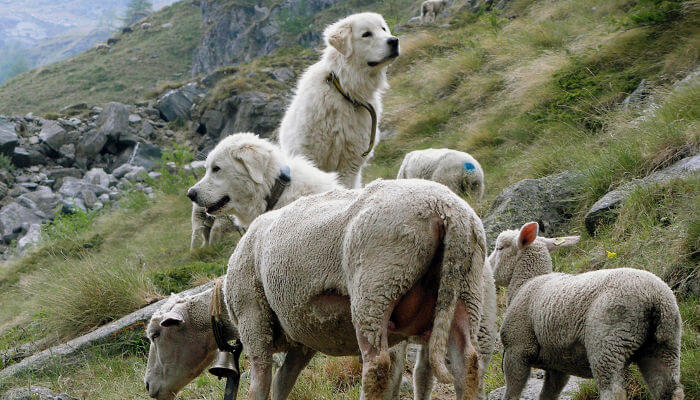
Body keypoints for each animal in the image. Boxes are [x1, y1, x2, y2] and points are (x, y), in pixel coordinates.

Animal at [146, 179, 490, 400]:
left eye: (155, 335)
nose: (148, 386)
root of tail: (447, 211)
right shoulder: (301, 340)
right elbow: (282, 384)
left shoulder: (254, 319)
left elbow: (260, 383)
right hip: (464, 289)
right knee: (468, 362)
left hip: (377, 286)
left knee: (377, 366)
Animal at [278, 12, 400, 188]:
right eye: (366, 34)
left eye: (383, 29)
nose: (394, 40)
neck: (344, 91)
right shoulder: (311, 156)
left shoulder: (349, 165)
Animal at [486, 222, 684, 400]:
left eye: (499, 247)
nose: (487, 269)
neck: (525, 283)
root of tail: (654, 297)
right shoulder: (558, 365)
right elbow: (547, 395)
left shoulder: (517, 349)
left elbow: (512, 394)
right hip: (665, 344)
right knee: (671, 391)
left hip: (608, 343)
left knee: (614, 392)